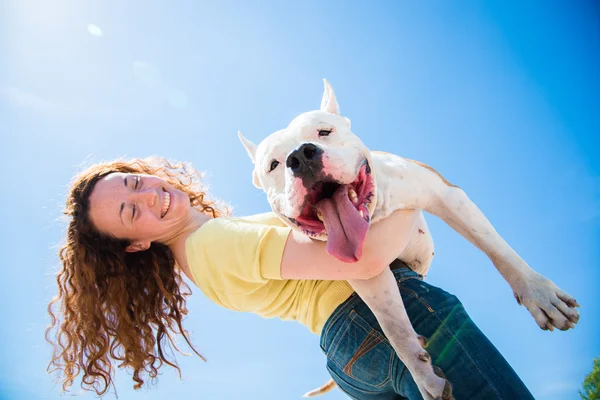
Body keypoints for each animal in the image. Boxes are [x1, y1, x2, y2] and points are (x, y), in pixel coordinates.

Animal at [237, 79, 580, 398]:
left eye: (324, 132)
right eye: (273, 165)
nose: (301, 155)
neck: (377, 210)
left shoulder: (446, 195)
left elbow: (497, 249)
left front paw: (539, 295)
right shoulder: (369, 273)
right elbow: (395, 328)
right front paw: (424, 375)